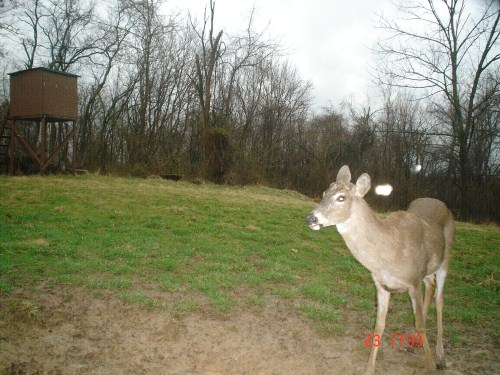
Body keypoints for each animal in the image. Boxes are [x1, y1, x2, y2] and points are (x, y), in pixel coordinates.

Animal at [306, 166, 456, 374]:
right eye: (323, 193)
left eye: (341, 197)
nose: (311, 218)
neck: (389, 253)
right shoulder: (382, 285)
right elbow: (379, 325)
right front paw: (369, 368)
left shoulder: (413, 282)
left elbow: (419, 324)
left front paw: (432, 365)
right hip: (427, 271)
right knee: (431, 284)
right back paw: (414, 343)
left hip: (445, 259)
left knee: (440, 300)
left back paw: (440, 357)